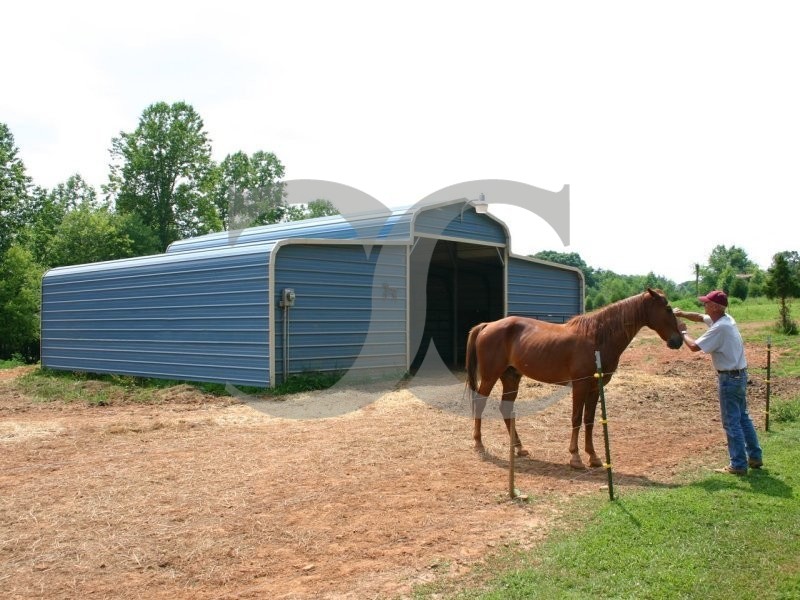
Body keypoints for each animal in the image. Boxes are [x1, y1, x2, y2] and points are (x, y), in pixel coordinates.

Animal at [466, 288, 684, 469]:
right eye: (668, 309)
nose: (678, 341)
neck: (597, 337)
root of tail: (488, 325)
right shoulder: (580, 385)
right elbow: (576, 418)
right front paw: (575, 458)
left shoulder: (595, 388)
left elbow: (589, 420)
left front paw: (593, 457)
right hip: (491, 376)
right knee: (480, 403)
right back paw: (478, 443)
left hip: (511, 377)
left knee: (506, 409)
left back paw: (519, 448)